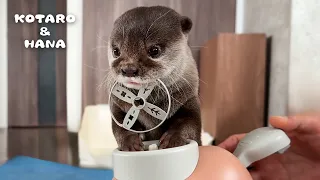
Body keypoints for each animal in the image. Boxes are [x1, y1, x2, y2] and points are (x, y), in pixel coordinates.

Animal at [107, 5, 202, 151]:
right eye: (116, 51)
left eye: (154, 50)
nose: (128, 69)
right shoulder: (117, 106)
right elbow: (120, 127)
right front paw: (131, 143)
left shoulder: (189, 100)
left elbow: (189, 123)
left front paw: (172, 139)